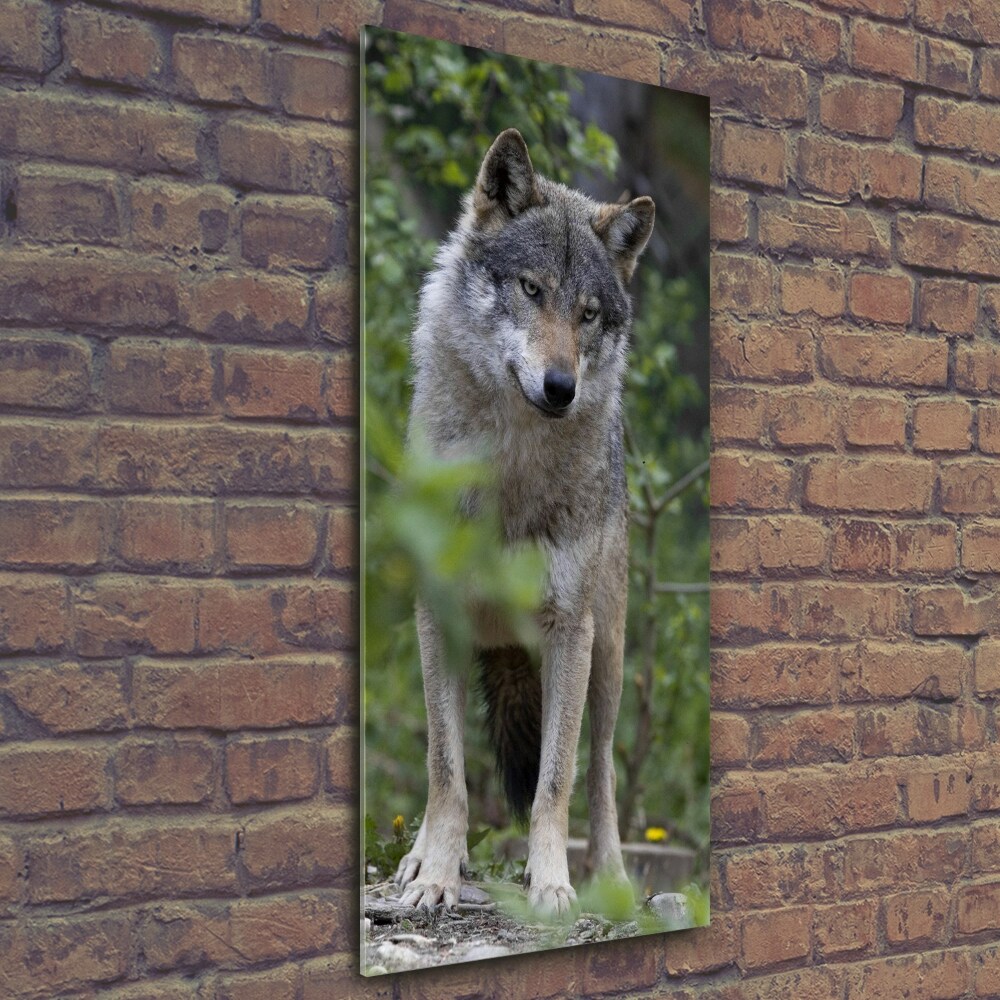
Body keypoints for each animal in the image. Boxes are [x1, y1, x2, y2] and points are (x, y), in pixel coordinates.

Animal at [394, 125, 652, 916]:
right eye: (532, 290)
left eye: (589, 313)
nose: (561, 387)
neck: (507, 470)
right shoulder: (436, 613)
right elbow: (444, 769)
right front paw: (437, 876)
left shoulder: (571, 629)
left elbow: (556, 782)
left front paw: (553, 885)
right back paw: (418, 860)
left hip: (609, 656)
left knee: (602, 769)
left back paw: (612, 878)